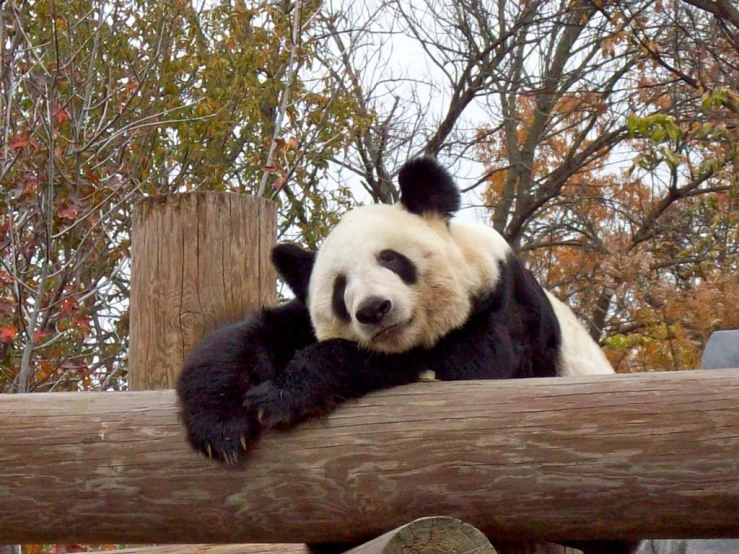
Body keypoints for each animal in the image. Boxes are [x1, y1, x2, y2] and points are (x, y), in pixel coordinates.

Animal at [175, 154, 640, 552]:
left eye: (391, 258)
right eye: (340, 288)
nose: (373, 309)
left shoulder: (506, 308)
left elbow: (451, 366)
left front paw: (283, 395)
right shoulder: (299, 318)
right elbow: (247, 335)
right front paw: (221, 427)